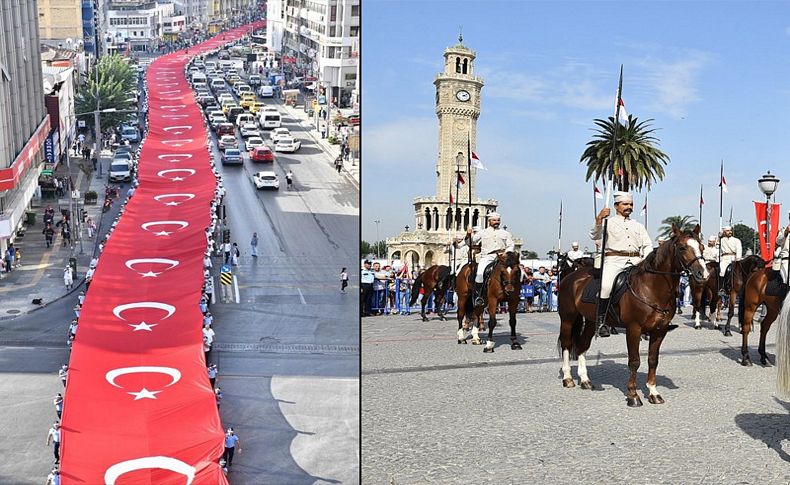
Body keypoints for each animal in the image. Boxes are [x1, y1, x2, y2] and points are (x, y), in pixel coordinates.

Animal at [556, 225, 712, 406]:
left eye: (702, 247)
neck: (651, 288)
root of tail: (571, 277)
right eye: (682, 248)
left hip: (590, 321)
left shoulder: (660, 331)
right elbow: (634, 361)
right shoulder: (633, 329)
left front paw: (653, 392)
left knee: (582, 345)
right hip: (568, 319)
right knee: (567, 344)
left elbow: (653, 360)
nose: (703, 274)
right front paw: (633, 395)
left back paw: (585, 380)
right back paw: (568, 378)